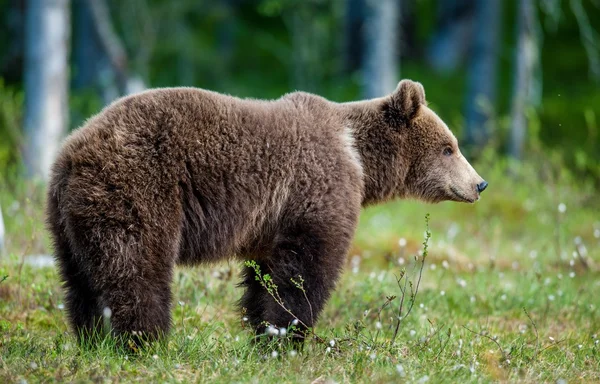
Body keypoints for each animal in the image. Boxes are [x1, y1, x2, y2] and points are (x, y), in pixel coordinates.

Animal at [47, 79, 488, 344]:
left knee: (80, 279)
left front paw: (263, 331)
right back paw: (145, 340)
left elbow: (266, 277)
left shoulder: (269, 221)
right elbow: (305, 271)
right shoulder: (315, 190)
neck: (359, 158)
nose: (479, 184)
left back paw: (92, 339)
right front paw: (288, 335)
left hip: (69, 218)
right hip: (139, 188)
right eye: (449, 147)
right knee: (137, 268)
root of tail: (71, 154)